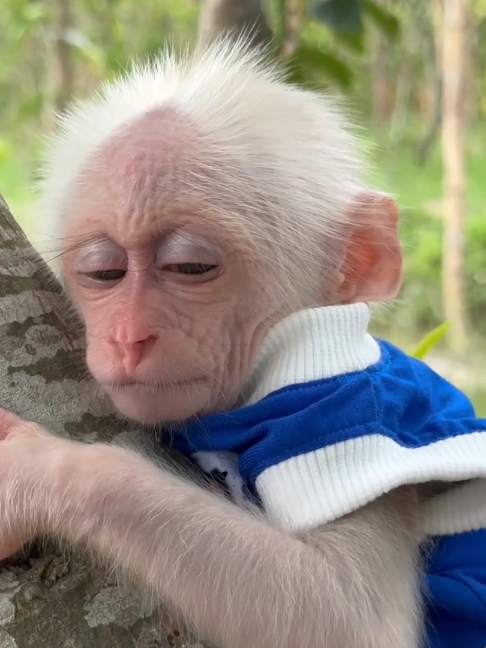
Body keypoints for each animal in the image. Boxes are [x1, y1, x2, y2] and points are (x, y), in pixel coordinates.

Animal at [1, 38, 486, 648]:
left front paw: (40, 472)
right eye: (103, 273)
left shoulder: (342, 407)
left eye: (190, 267)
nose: (127, 335)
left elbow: (349, 617)